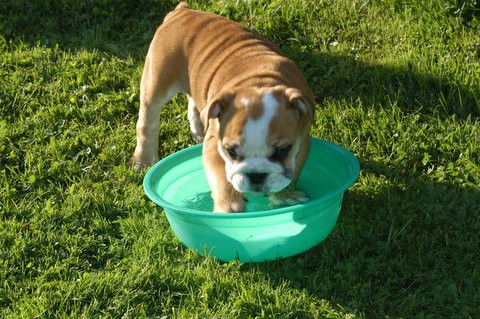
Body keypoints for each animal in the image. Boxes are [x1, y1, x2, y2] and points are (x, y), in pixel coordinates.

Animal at [131, 2, 316, 214]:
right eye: (231, 152)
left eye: (282, 151)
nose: (256, 175)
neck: (261, 84)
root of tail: (183, 11)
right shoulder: (214, 144)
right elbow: (221, 177)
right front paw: (229, 206)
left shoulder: (302, 142)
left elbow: (291, 176)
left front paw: (284, 198)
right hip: (157, 80)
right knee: (148, 121)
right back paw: (144, 159)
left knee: (194, 101)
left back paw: (197, 129)